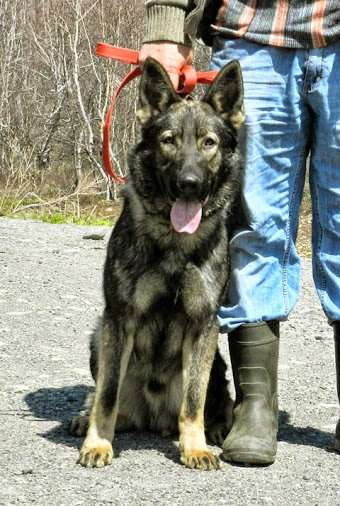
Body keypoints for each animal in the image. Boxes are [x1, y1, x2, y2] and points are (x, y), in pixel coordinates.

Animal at [69, 56, 244, 470]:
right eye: (169, 141)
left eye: (208, 143)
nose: (189, 183)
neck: (174, 243)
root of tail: (151, 416)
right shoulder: (120, 318)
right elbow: (107, 394)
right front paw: (98, 442)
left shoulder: (202, 324)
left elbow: (193, 401)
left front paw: (195, 447)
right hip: (100, 336)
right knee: (108, 397)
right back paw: (87, 418)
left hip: (214, 360)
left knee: (212, 399)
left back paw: (216, 429)